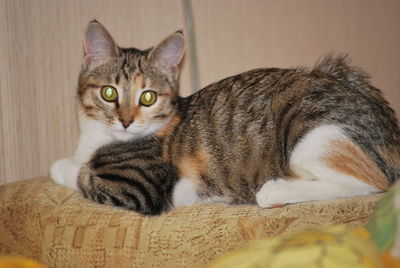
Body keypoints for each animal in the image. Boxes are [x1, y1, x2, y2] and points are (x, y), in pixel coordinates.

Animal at [50, 19, 400, 215]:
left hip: (310, 131)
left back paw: (274, 192)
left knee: (373, 183)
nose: (126, 121)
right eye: (109, 93)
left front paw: (61, 166)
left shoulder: (141, 189)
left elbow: (84, 176)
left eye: (147, 97)